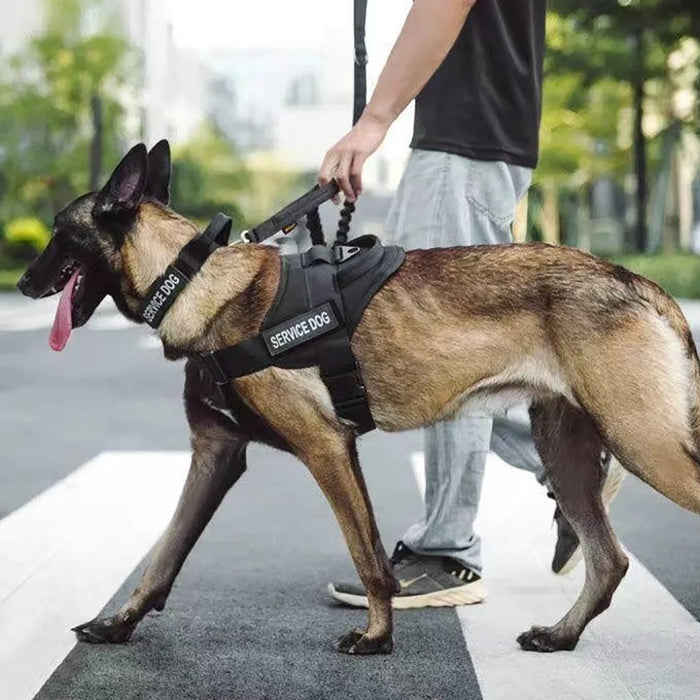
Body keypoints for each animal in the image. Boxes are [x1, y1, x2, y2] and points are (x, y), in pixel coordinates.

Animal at [15, 142, 700, 656]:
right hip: (568, 451)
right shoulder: (215, 456)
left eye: (56, 235)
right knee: (608, 559)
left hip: (644, 442)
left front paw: (376, 638)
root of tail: (638, 280)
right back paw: (561, 634)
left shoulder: (327, 449)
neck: (192, 281)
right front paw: (117, 624)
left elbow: (369, 556)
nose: (20, 282)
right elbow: (163, 554)